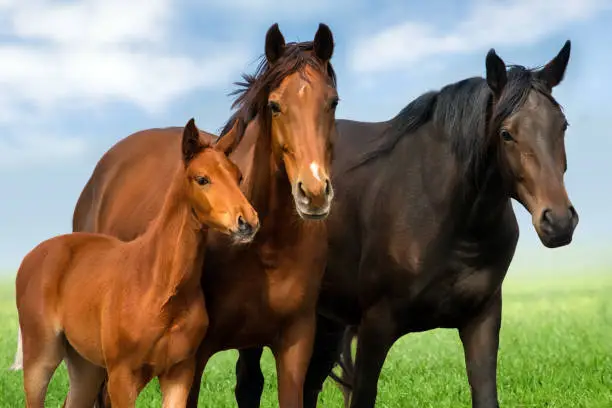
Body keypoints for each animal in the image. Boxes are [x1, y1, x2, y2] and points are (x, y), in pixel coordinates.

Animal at [14, 118, 258, 408]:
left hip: (86, 366)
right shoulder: (122, 376)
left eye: (238, 177)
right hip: (42, 357)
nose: (248, 222)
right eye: (202, 179)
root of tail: (33, 255)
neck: (158, 287)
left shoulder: (179, 372)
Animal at [65, 23, 340, 408]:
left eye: (332, 102)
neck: (269, 248)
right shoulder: (194, 356)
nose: (313, 192)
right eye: (275, 105)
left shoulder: (295, 344)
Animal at [234, 41, 580, 408]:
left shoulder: (482, 320)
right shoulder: (375, 326)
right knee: (250, 383)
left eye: (562, 126)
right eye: (506, 134)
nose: (558, 221)